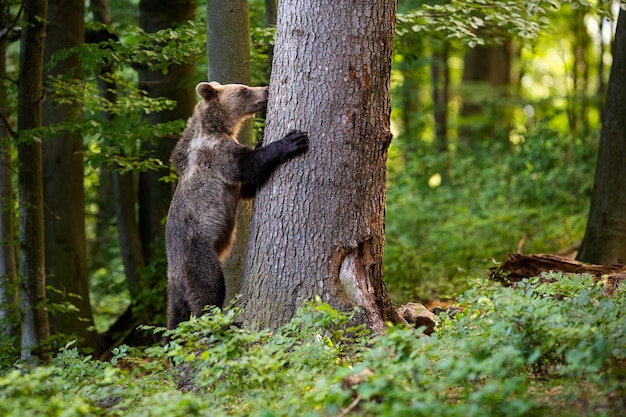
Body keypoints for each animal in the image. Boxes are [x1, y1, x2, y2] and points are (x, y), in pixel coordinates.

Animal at [165, 81, 308, 332]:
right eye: (243, 90)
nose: (266, 89)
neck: (217, 127)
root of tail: (175, 274)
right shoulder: (217, 155)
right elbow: (247, 165)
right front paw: (293, 139)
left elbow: (248, 186)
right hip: (198, 256)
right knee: (209, 291)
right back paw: (225, 324)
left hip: (175, 288)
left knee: (176, 316)